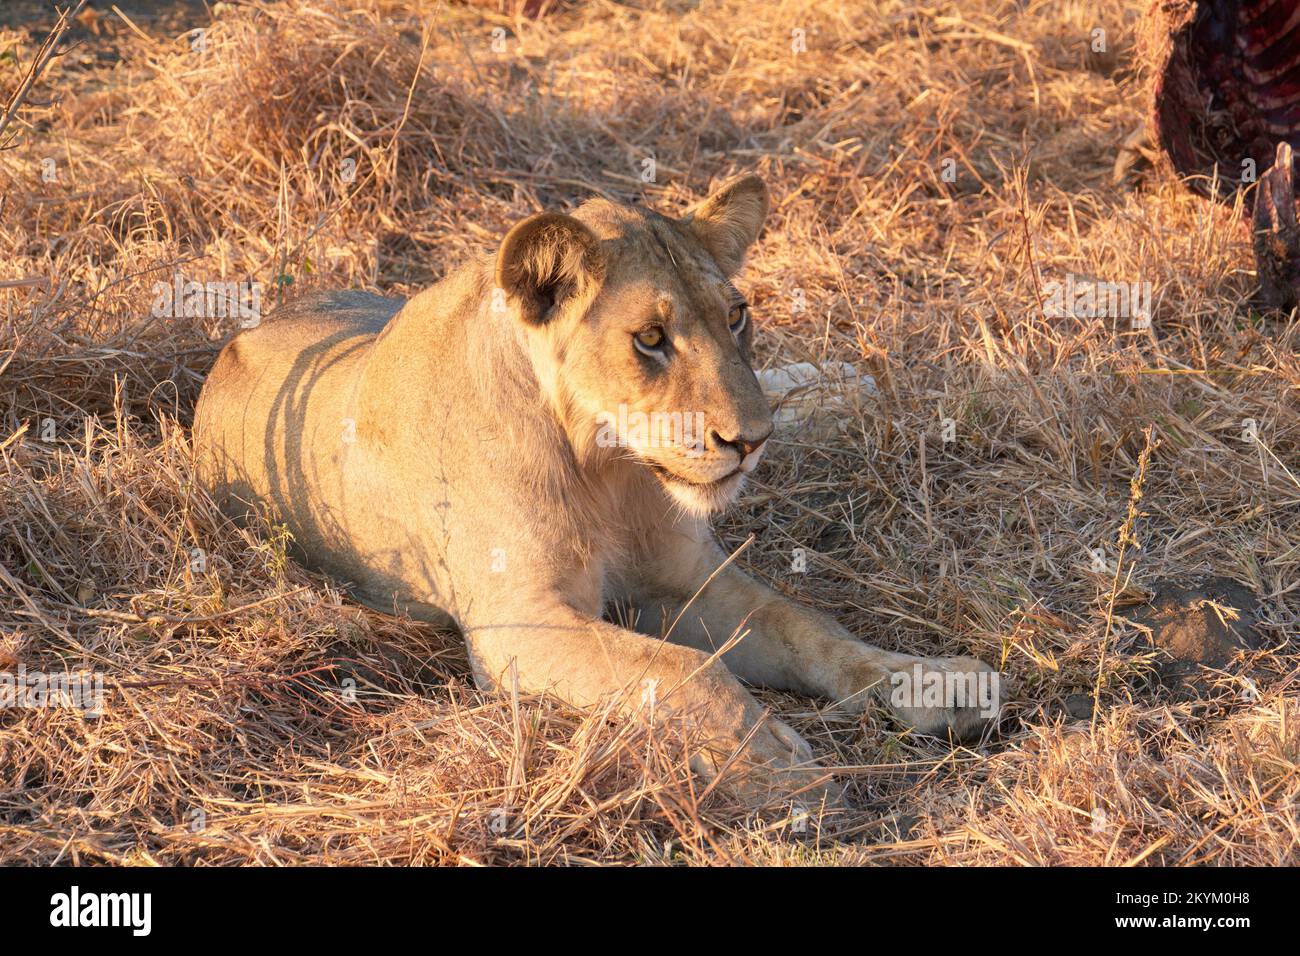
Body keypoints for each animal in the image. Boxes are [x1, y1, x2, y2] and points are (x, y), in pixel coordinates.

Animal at [192, 174, 993, 806]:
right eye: (650, 339)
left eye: (736, 315)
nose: (752, 441)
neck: (607, 470)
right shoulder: (521, 625)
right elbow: (680, 668)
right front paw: (773, 763)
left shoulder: (686, 580)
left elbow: (803, 625)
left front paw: (932, 683)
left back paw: (844, 386)